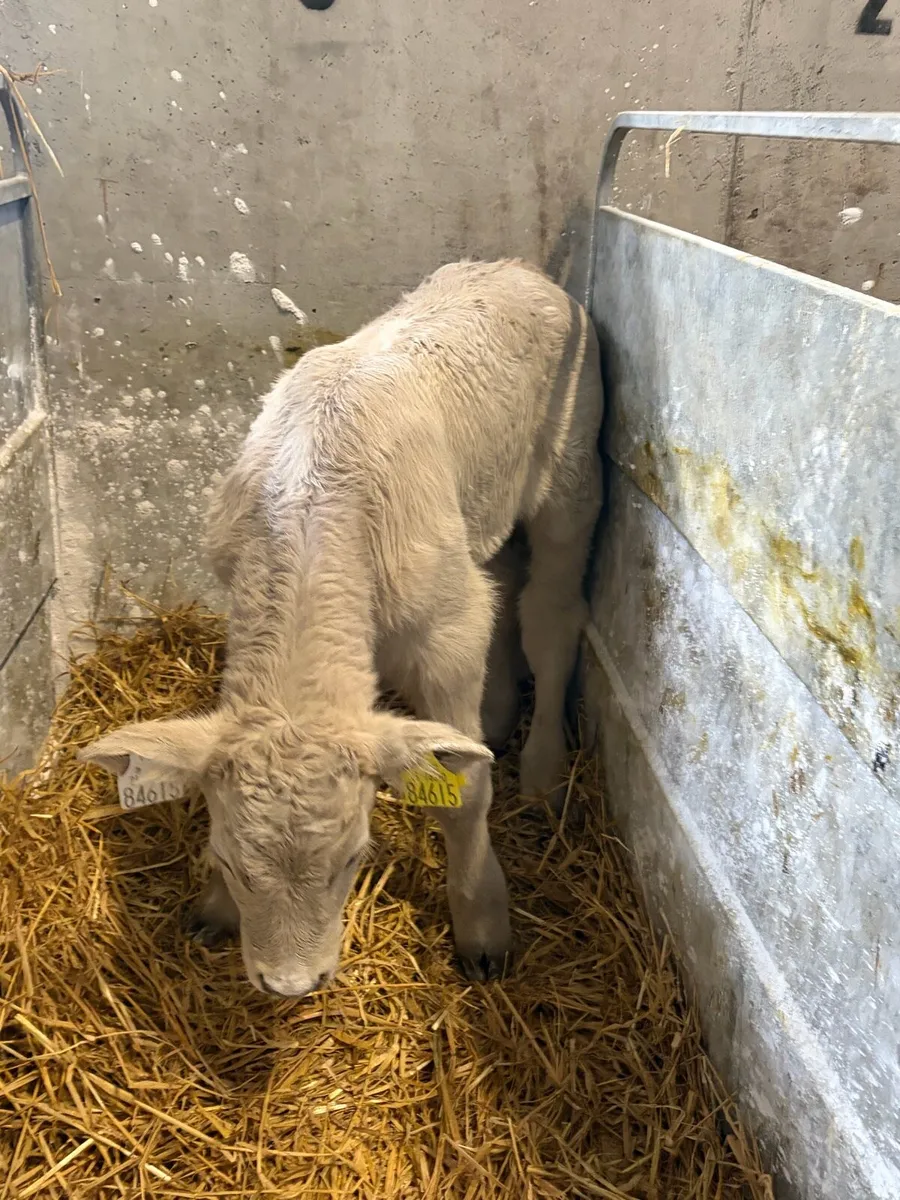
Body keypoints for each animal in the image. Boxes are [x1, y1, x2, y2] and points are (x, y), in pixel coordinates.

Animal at [81, 259, 604, 998]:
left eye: (354, 859)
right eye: (227, 860)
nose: (289, 984)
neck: (311, 505)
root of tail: (514, 267)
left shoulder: (447, 631)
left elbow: (463, 796)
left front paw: (481, 923)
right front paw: (216, 910)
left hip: (573, 475)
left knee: (551, 618)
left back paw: (543, 772)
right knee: (502, 586)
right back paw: (497, 723)